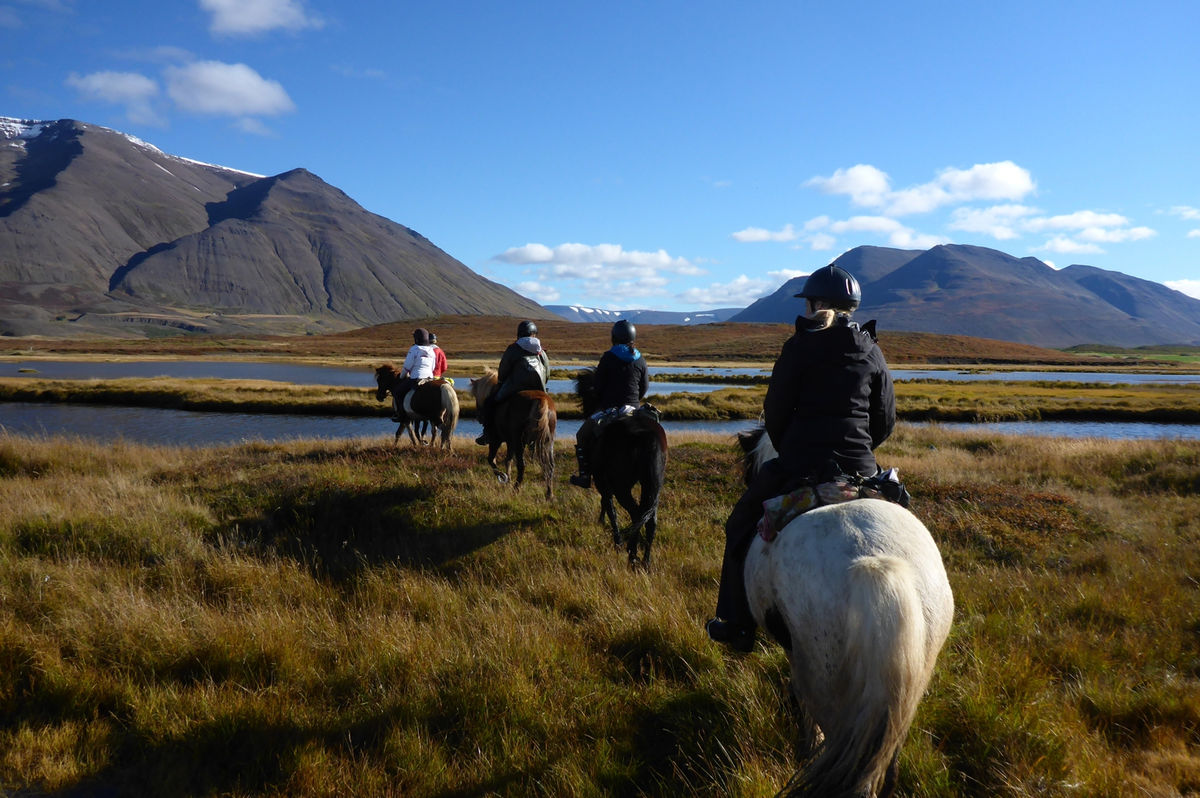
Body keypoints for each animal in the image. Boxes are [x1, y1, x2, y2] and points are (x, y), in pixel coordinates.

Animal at [470, 369, 559, 499]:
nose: (479, 417)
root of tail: (541, 400)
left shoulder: (496, 440)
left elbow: (491, 460)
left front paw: (503, 477)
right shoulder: (510, 442)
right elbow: (508, 460)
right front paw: (508, 479)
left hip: (519, 441)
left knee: (522, 465)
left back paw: (516, 489)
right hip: (546, 441)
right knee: (549, 465)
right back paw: (549, 494)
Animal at [571, 367, 667, 566]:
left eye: (585, 394)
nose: (585, 412)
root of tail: (647, 435)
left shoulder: (602, 481)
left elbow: (610, 508)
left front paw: (616, 541)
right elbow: (605, 504)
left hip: (622, 486)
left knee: (636, 513)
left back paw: (632, 553)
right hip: (652, 486)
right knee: (650, 519)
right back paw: (646, 561)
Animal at [734, 429, 950, 796]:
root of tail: (874, 563)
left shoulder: (797, 657)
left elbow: (801, 703)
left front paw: (806, 746)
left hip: (830, 686)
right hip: (903, 693)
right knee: (885, 766)